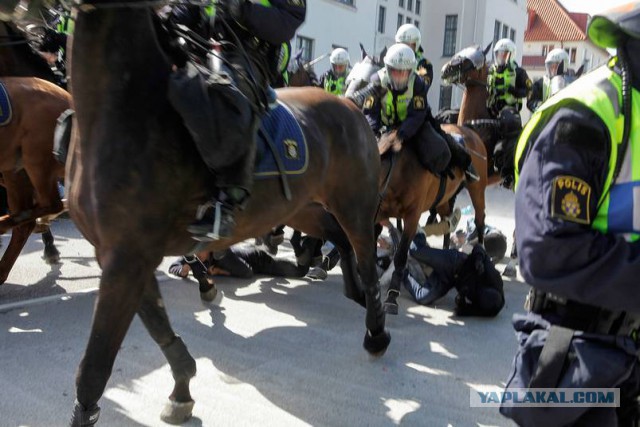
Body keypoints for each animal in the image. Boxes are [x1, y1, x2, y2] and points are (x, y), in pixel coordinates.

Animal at [69, 5, 390, 424]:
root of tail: (351, 106)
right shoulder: (122, 256)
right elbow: (159, 329)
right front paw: (182, 388)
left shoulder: (126, 259)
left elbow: (94, 369)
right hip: (304, 208)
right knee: (337, 239)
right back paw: (345, 288)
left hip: (354, 205)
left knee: (366, 259)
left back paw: (375, 330)